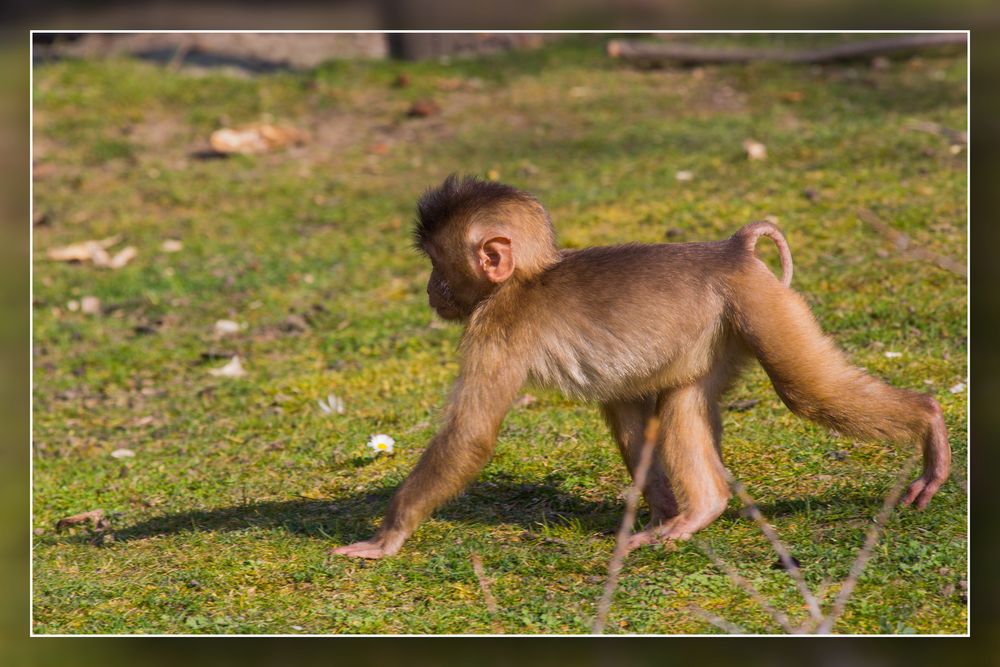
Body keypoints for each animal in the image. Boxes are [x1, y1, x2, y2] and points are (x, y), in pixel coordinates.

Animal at [332, 176, 948, 560]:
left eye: (438, 266)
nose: (429, 289)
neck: (524, 279)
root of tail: (734, 249)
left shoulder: (496, 330)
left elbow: (470, 434)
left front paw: (386, 537)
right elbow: (626, 405)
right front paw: (660, 512)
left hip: (764, 306)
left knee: (806, 391)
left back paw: (929, 419)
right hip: (725, 325)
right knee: (684, 398)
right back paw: (701, 510)